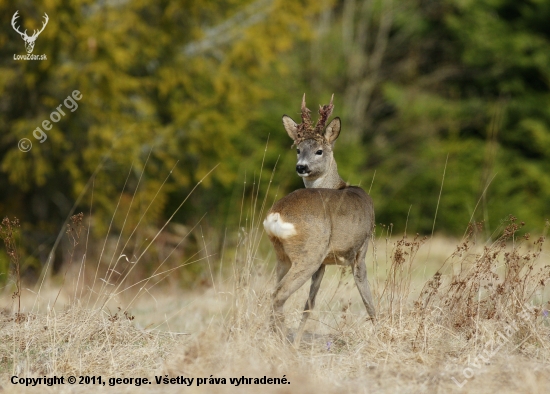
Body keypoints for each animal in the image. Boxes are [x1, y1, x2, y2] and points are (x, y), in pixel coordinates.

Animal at [264, 94, 378, 342]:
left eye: (319, 151)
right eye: (298, 149)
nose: (301, 167)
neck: (339, 185)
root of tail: (276, 214)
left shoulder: (324, 263)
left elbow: (309, 304)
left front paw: (299, 338)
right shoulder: (360, 250)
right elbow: (367, 298)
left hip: (283, 256)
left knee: (272, 292)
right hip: (309, 252)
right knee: (278, 294)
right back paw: (281, 339)